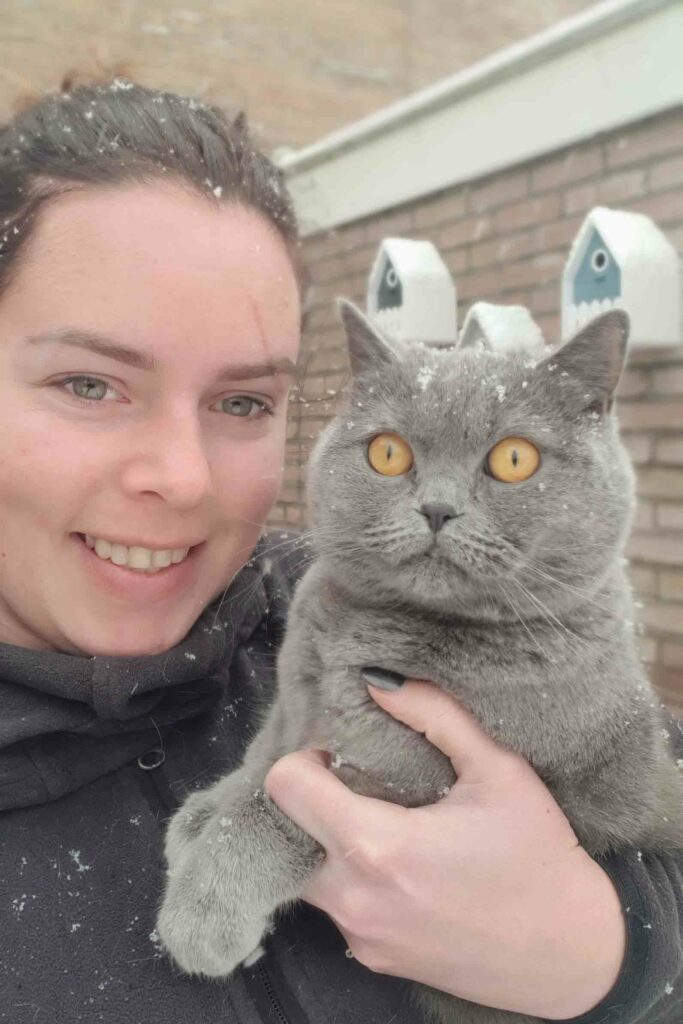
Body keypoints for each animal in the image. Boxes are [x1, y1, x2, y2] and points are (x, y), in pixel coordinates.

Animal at [154, 299, 683, 1024]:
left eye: (514, 458)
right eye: (387, 452)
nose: (437, 508)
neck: (361, 633)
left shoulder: (407, 768)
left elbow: (279, 804)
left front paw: (204, 910)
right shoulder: (295, 699)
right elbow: (264, 757)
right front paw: (201, 815)